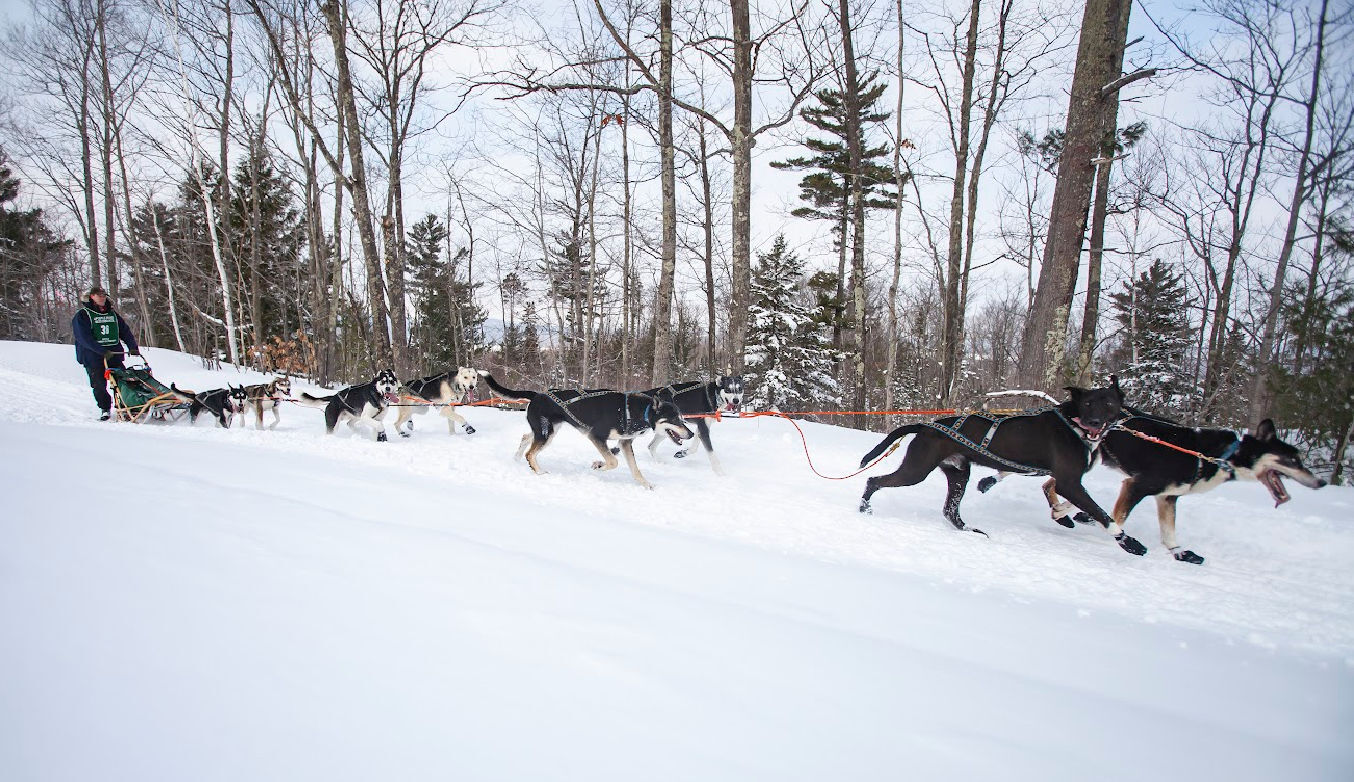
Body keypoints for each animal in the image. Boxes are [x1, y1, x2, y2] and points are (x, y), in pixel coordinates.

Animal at [482, 370, 693, 487]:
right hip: (546, 433)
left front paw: (647, 485)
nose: (691, 433)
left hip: (547, 431)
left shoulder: (624, 443)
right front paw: (598, 467)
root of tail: (537, 395)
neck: (636, 411)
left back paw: (517, 458)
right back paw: (539, 471)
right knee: (530, 453)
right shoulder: (596, 436)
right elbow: (613, 462)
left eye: (682, 418)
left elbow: (635, 470)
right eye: (674, 419)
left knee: (526, 437)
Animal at [861, 378, 1148, 554]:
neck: (1073, 425)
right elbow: (1104, 515)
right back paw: (864, 508)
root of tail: (926, 426)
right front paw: (1130, 543)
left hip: (959, 474)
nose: (1094, 421)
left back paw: (970, 531)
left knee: (950, 511)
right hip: (917, 470)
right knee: (873, 480)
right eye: (1088, 403)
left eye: (1108, 403)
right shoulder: (1069, 483)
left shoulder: (1065, 481)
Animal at [1018, 414, 1326, 560]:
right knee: (1061, 485)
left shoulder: (1167, 497)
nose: (1321, 482)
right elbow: (1118, 518)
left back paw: (1063, 512)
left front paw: (1179, 552)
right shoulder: (1137, 485)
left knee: (1053, 484)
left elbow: (1169, 534)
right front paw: (1122, 540)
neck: (1216, 457)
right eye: (1292, 459)